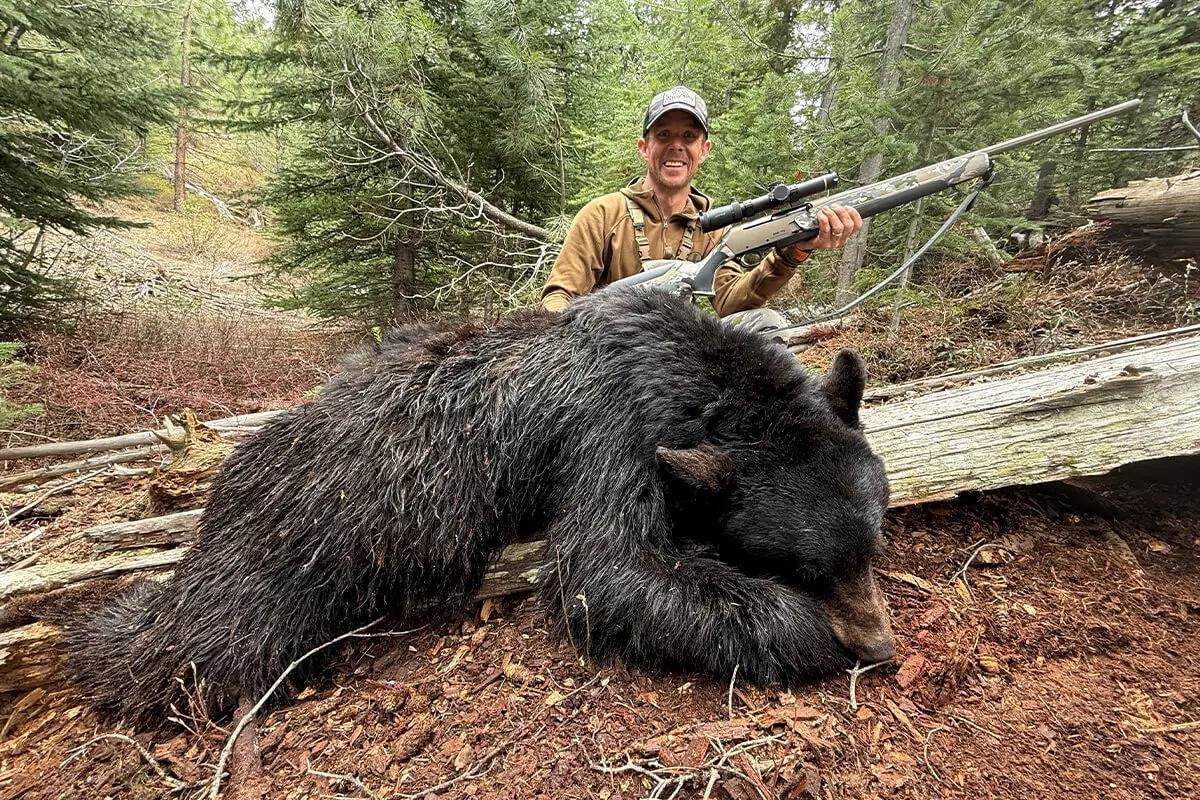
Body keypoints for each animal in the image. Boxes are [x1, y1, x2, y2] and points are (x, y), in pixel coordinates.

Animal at [64, 288, 894, 725]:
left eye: (873, 542)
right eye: (805, 566)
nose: (882, 649)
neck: (688, 373)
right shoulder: (608, 429)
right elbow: (603, 570)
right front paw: (809, 632)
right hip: (282, 552)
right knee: (198, 648)